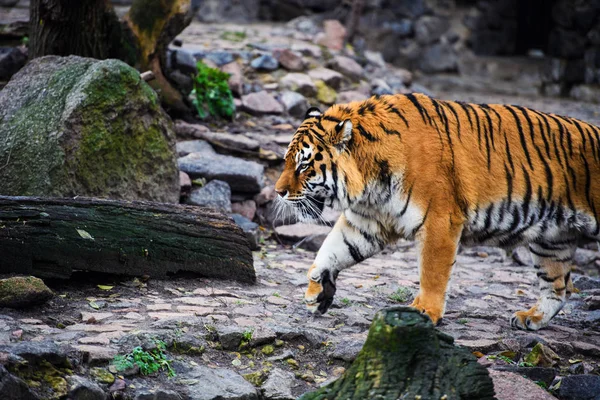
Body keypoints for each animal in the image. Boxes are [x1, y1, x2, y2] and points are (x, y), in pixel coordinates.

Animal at [274, 94, 600, 332]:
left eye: (304, 165)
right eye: (288, 161)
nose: (278, 191)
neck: (370, 179)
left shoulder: (440, 221)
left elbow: (432, 272)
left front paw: (425, 311)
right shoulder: (368, 221)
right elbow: (331, 249)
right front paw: (316, 291)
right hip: (552, 240)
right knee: (557, 288)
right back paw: (532, 318)